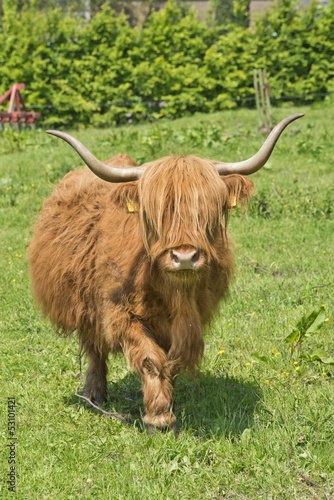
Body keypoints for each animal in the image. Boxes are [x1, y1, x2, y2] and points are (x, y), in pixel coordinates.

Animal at [30, 113, 304, 434]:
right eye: (158, 213)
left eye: (207, 211)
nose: (184, 256)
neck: (171, 291)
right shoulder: (120, 313)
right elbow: (151, 360)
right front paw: (159, 418)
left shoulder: (190, 319)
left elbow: (173, 361)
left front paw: (168, 405)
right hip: (83, 304)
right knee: (94, 346)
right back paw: (95, 394)